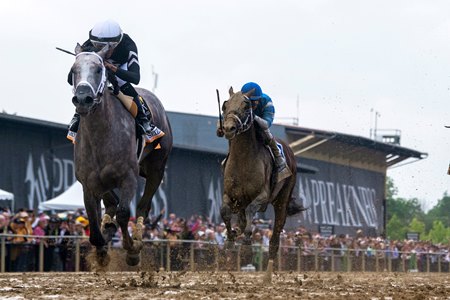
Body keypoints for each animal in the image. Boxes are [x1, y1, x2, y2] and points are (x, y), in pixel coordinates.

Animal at [70, 43, 172, 266]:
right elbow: (93, 222)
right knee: (112, 203)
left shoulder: (129, 177)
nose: (82, 99)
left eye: (99, 69)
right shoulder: (88, 182)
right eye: (73, 70)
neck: (101, 136)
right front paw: (101, 250)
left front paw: (132, 250)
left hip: (157, 168)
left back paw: (136, 238)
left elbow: (125, 213)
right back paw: (109, 226)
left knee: (143, 206)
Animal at [219, 86, 302, 262]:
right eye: (225, 105)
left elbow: (251, 211)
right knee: (242, 220)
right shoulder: (231, 195)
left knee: (276, 234)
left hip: (282, 199)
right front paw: (230, 239)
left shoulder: (262, 196)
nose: (228, 128)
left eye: (246, 106)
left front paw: (246, 247)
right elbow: (224, 211)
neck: (243, 160)